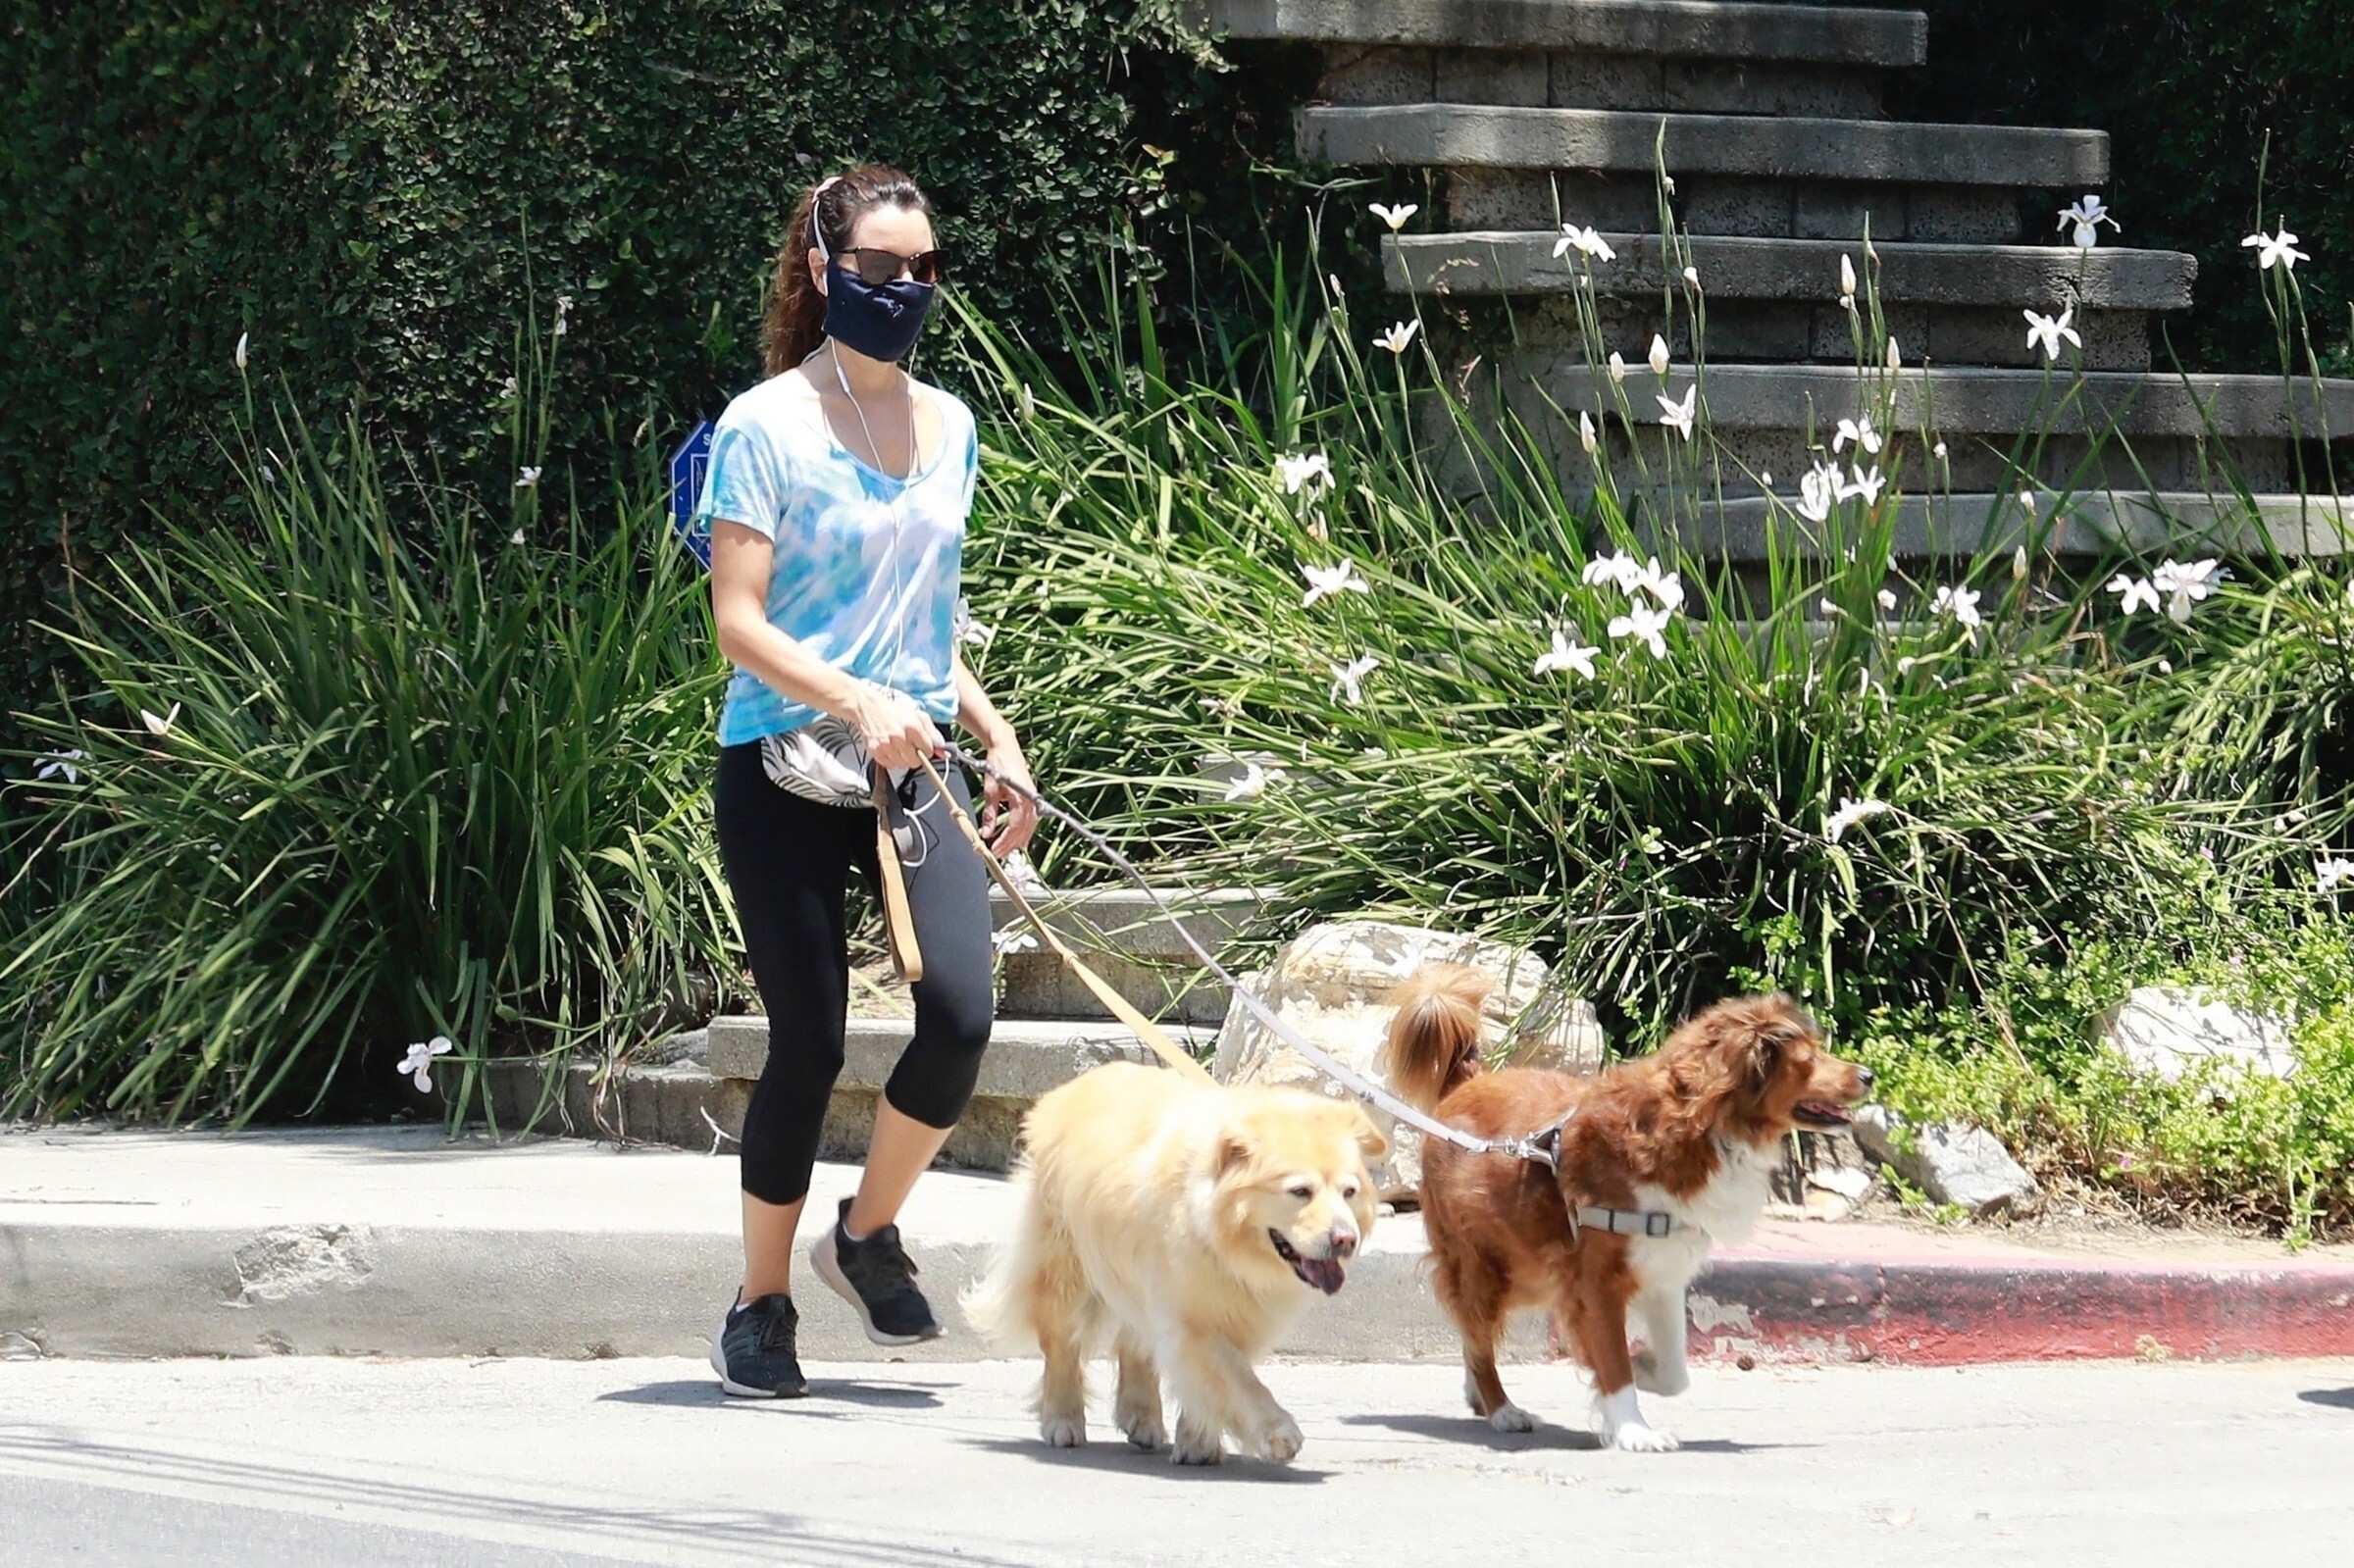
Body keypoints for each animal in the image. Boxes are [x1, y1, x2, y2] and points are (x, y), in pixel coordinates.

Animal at [964, 1060, 1384, 1465]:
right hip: (1065, 1267)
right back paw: (1062, 1421)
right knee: (1062, 1344)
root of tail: (1068, 1089)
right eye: (1300, 1191)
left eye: (1349, 1192)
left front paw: (1198, 1442)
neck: (1225, 1240)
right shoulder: (1195, 1319)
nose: (1346, 1239)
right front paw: (1276, 1432)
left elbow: (1210, 1384)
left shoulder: (1235, 1312)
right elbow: (1236, 1380)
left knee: (1134, 1341)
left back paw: (1142, 1417)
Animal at [1382, 964, 1870, 1452]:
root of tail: (1467, 1083)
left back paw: (1479, 1396)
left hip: (1529, 1267)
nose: (1867, 1074)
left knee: (1473, 1333)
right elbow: (1613, 1360)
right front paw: (1634, 1428)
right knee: (1478, 1331)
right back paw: (1502, 1408)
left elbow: (1672, 1372)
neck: (1698, 1129)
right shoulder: (1595, 1280)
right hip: (1483, 1264)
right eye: (1807, 1058)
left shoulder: (1663, 1271)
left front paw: (1640, 1368)